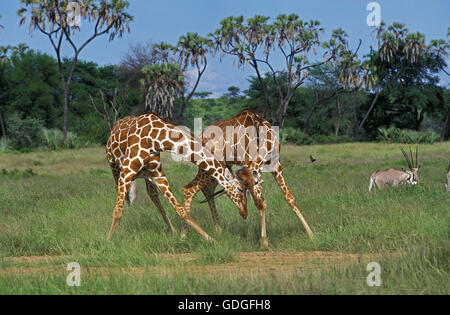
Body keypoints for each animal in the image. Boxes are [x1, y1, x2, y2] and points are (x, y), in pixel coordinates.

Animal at [104, 113, 248, 242]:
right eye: (240, 189)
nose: (245, 213)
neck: (157, 138)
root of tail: (114, 126)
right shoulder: (128, 169)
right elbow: (117, 210)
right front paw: (108, 240)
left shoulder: (157, 173)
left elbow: (181, 210)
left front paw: (210, 239)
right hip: (114, 167)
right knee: (123, 200)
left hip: (146, 175)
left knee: (152, 194)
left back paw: (172, 230)